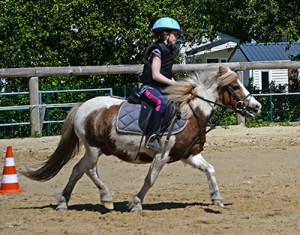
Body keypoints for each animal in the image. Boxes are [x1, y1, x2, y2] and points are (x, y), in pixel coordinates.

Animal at [23, 65, 262, 212]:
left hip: (95, 149)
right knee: (89, 171)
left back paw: (64, 203)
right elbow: (150, 180)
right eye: (235, 86)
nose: (256, 106)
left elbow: (210, 170)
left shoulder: (189, 155)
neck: (191, 113)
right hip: (93, 148)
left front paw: (217, 198)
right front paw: (136, 203)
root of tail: (83, 106)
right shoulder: (162, 156)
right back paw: (106, 198)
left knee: (77, 170)